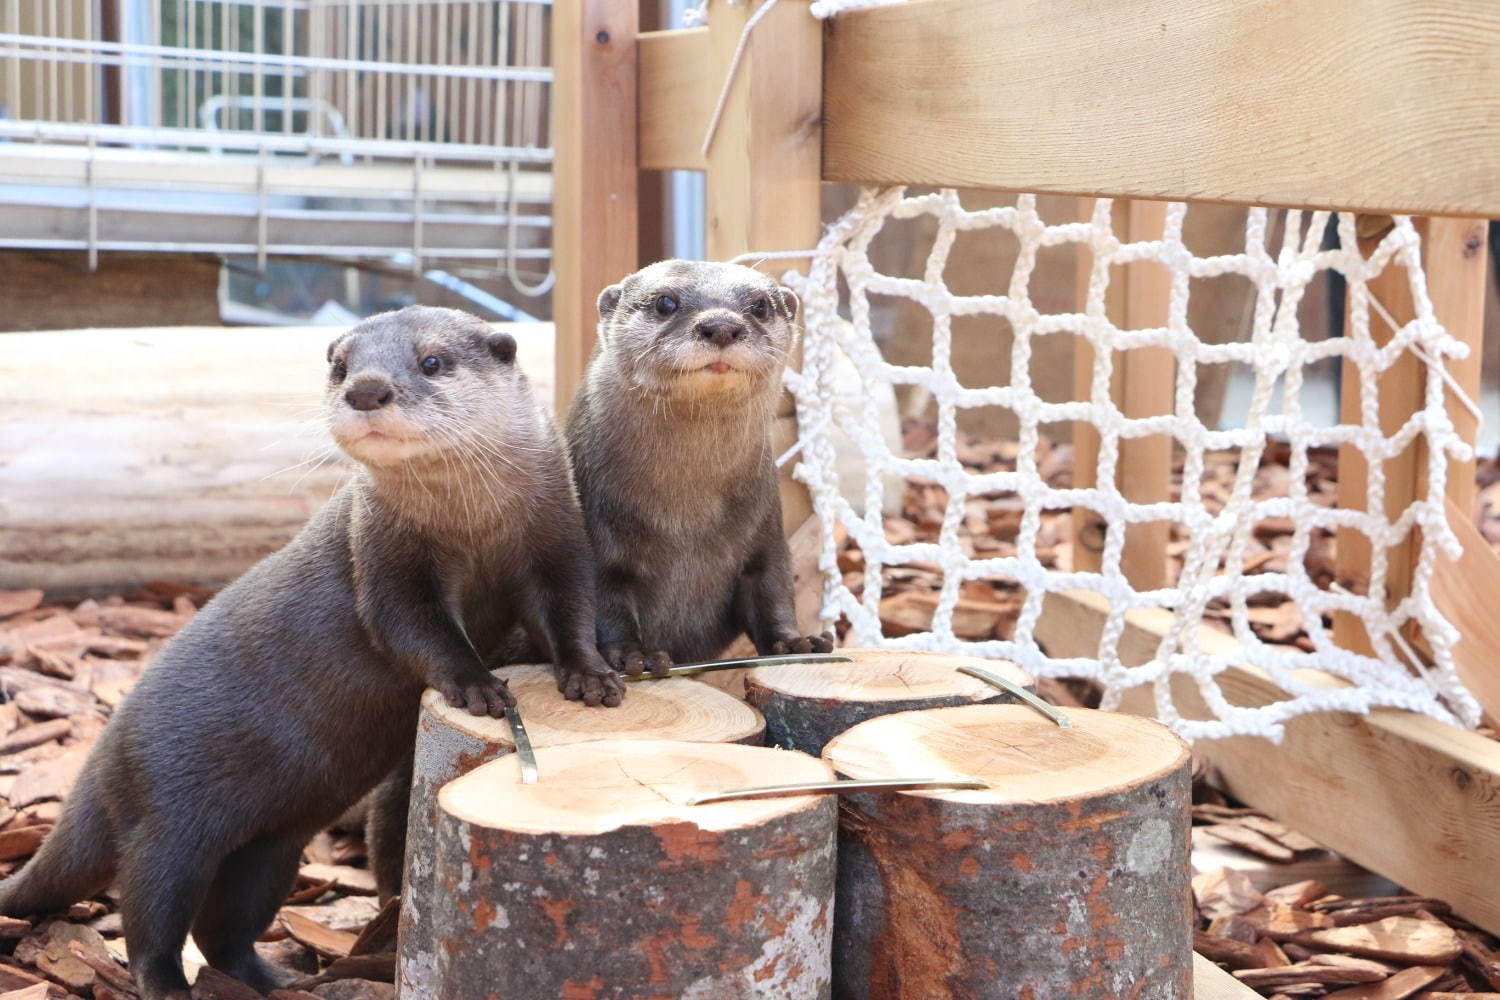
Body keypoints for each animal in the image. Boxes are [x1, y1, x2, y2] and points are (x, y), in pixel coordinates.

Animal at [0, 307, 621, 1000]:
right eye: (341, 366)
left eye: (432, 361)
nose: (367, 389)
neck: (472, 525)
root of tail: (104, 752)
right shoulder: (383, 556)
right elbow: (414, 630)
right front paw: (478, 685)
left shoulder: (555, 536)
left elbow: (569, 612)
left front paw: (594, 676)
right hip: (167, 814)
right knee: (149, 911)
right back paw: (171, 983)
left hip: (272, 847)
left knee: (225, 927)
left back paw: (278, 979)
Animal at [567, 260, 840, 680]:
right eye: (665, 302)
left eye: (760, 305)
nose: (721, 325)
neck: (685, 523)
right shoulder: (596, 532)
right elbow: (604, 604)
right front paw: (636, 655)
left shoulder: (764, 532)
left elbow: (773, 591)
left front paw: (798, 643)